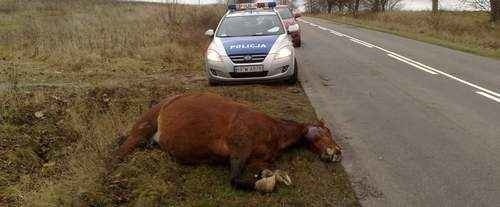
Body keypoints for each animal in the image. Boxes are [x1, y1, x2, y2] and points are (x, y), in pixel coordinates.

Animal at [115, 92, 342, 192]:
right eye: (326, 131)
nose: (337, 153)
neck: (274, 131)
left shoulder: (257, 160)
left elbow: (268, 170)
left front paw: (271, 175)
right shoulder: (239, 150)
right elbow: (236, 180)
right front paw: (267, 181)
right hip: (141, 132)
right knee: (119, 154)